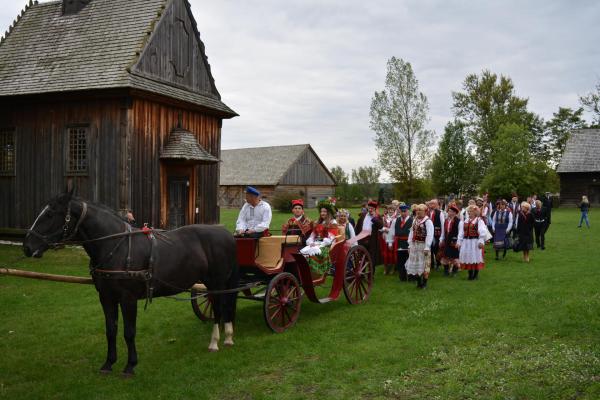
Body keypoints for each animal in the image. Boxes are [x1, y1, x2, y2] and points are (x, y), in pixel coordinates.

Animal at [23, 191, 239, 376]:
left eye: (50, 214)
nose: (27, 247)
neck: (114, 247)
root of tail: (226, 234)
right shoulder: (106, 297)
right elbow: (111, 330)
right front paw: (108, 363)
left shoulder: (128, 299)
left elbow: (129, 332)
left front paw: (130, 365)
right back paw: (228, 337)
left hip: (217, 282)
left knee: (220, 307)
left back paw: (216, 341)